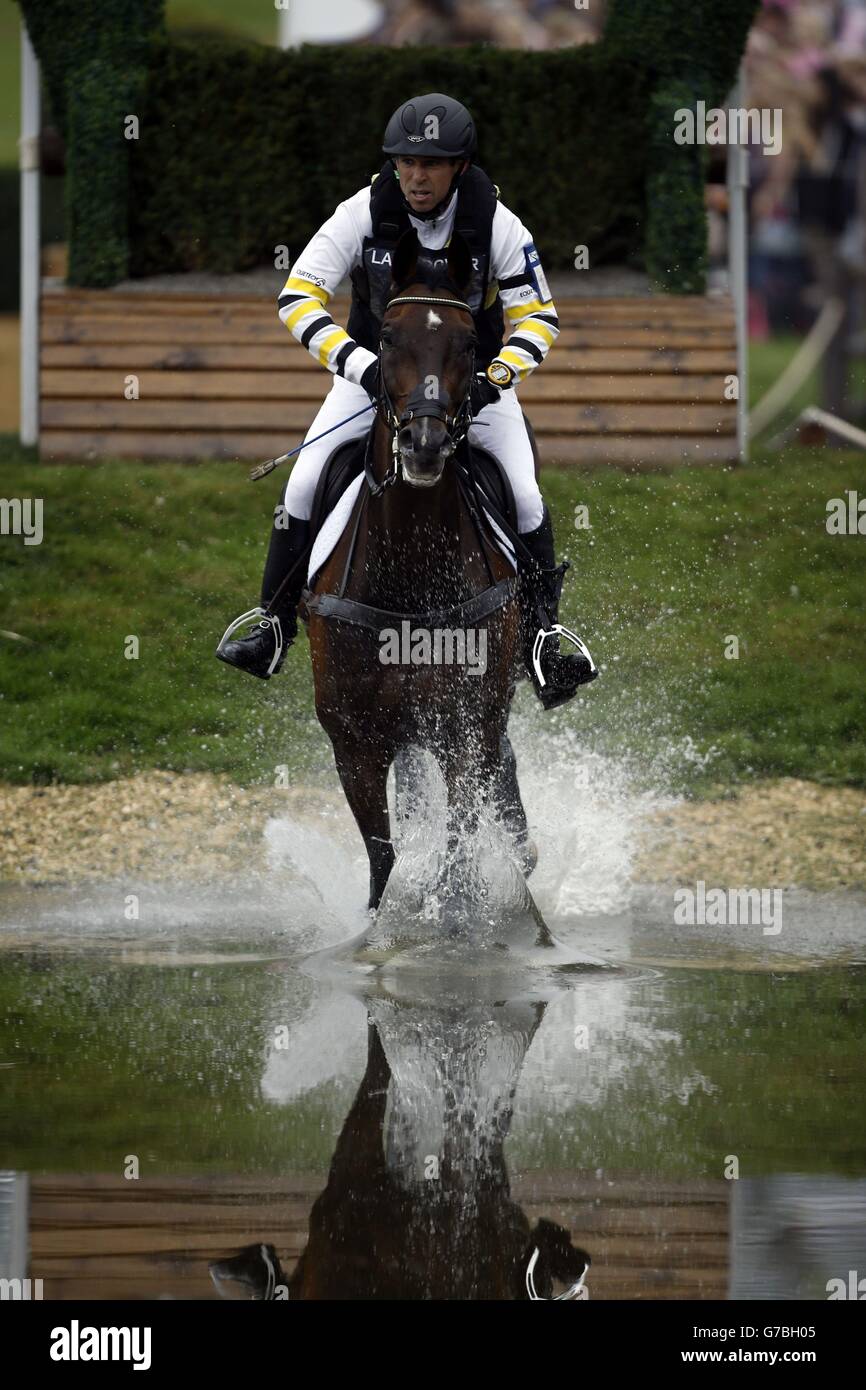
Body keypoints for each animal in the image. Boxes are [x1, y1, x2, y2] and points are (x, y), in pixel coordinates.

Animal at [303, 227, 536, 911]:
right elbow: (384, 863)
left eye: (468, 344)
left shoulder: (464, 728)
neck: (408, 569)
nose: (425, 445)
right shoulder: (355, 744)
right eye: (385, 339)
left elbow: (457, 850)